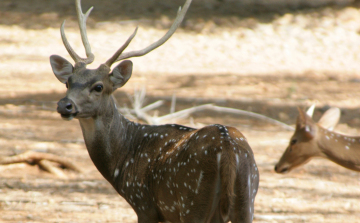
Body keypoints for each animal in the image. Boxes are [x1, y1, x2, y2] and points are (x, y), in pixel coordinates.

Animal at [50, 0, 258, 222]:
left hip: (193, 199)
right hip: (246, 196)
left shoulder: (144, 203)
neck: (123, 158)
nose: (64, 105)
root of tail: (226, 148)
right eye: (68, 82)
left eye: (99, 87)